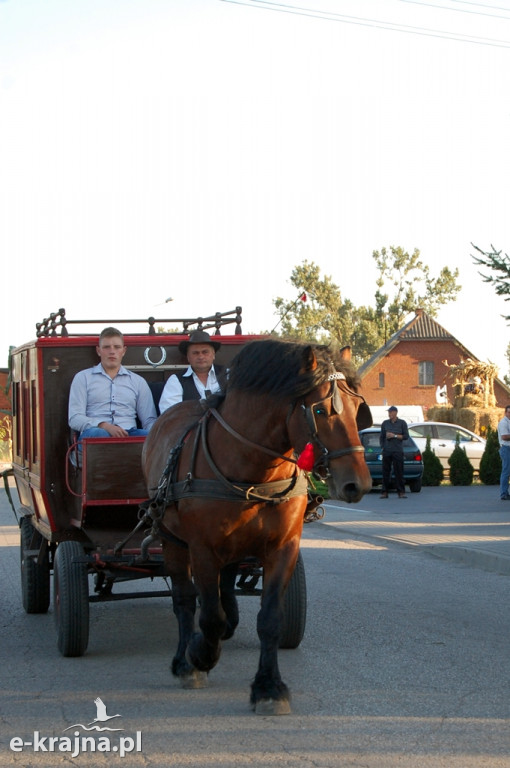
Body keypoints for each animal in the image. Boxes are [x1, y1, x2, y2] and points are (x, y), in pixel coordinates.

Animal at [141, 340, 372, 712]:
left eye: (357, 408)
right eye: (320, 411)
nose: (359, 484)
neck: (253, 471)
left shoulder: (283, 548)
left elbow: (270, 619)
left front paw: (268, 687)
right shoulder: (202, 549)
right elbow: (208, 615)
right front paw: (200, 655)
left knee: (223, 590)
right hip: (172, 540)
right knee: (185, 600)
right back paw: (184, 661)